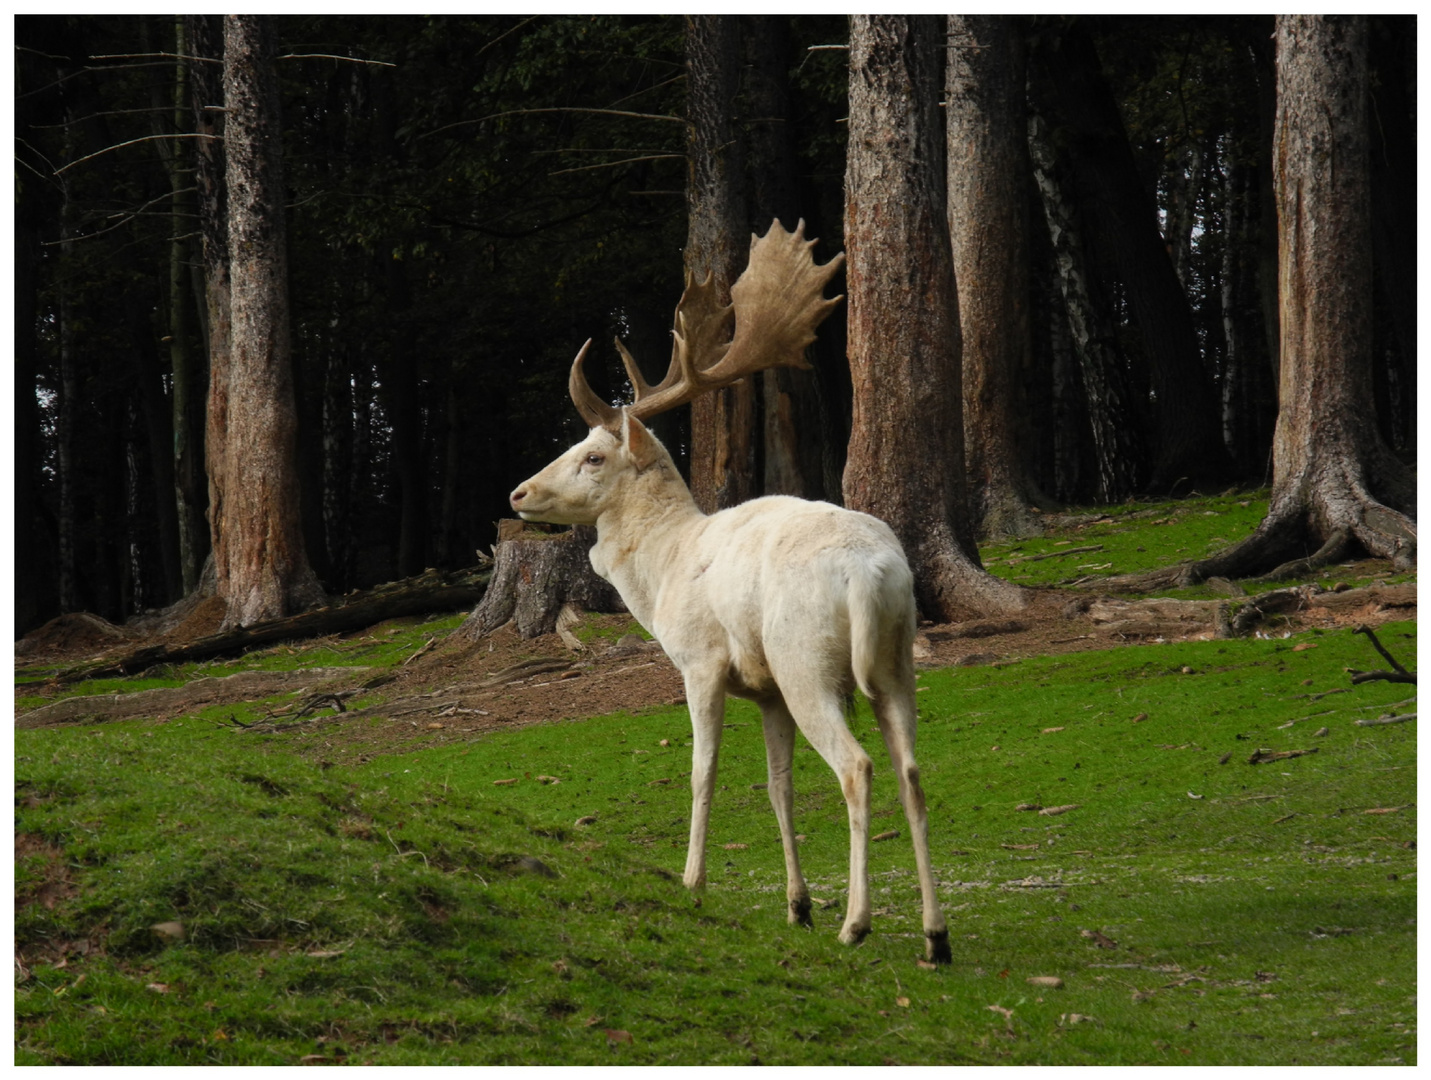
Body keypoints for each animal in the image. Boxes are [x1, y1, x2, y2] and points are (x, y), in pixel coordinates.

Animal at [515, 220, 950, 961]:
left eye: (592, 455)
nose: (518, 493)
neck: (664, 568)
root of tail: (873, 573)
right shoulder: (766, 690)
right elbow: (778, 786)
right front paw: (796, 905)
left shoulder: (701, 660)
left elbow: (704, 768)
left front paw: (691, 880)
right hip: (895, 661)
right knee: (913, 771)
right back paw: (934, 936)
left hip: (807, 659)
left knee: (857, 766)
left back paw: (856, 923)